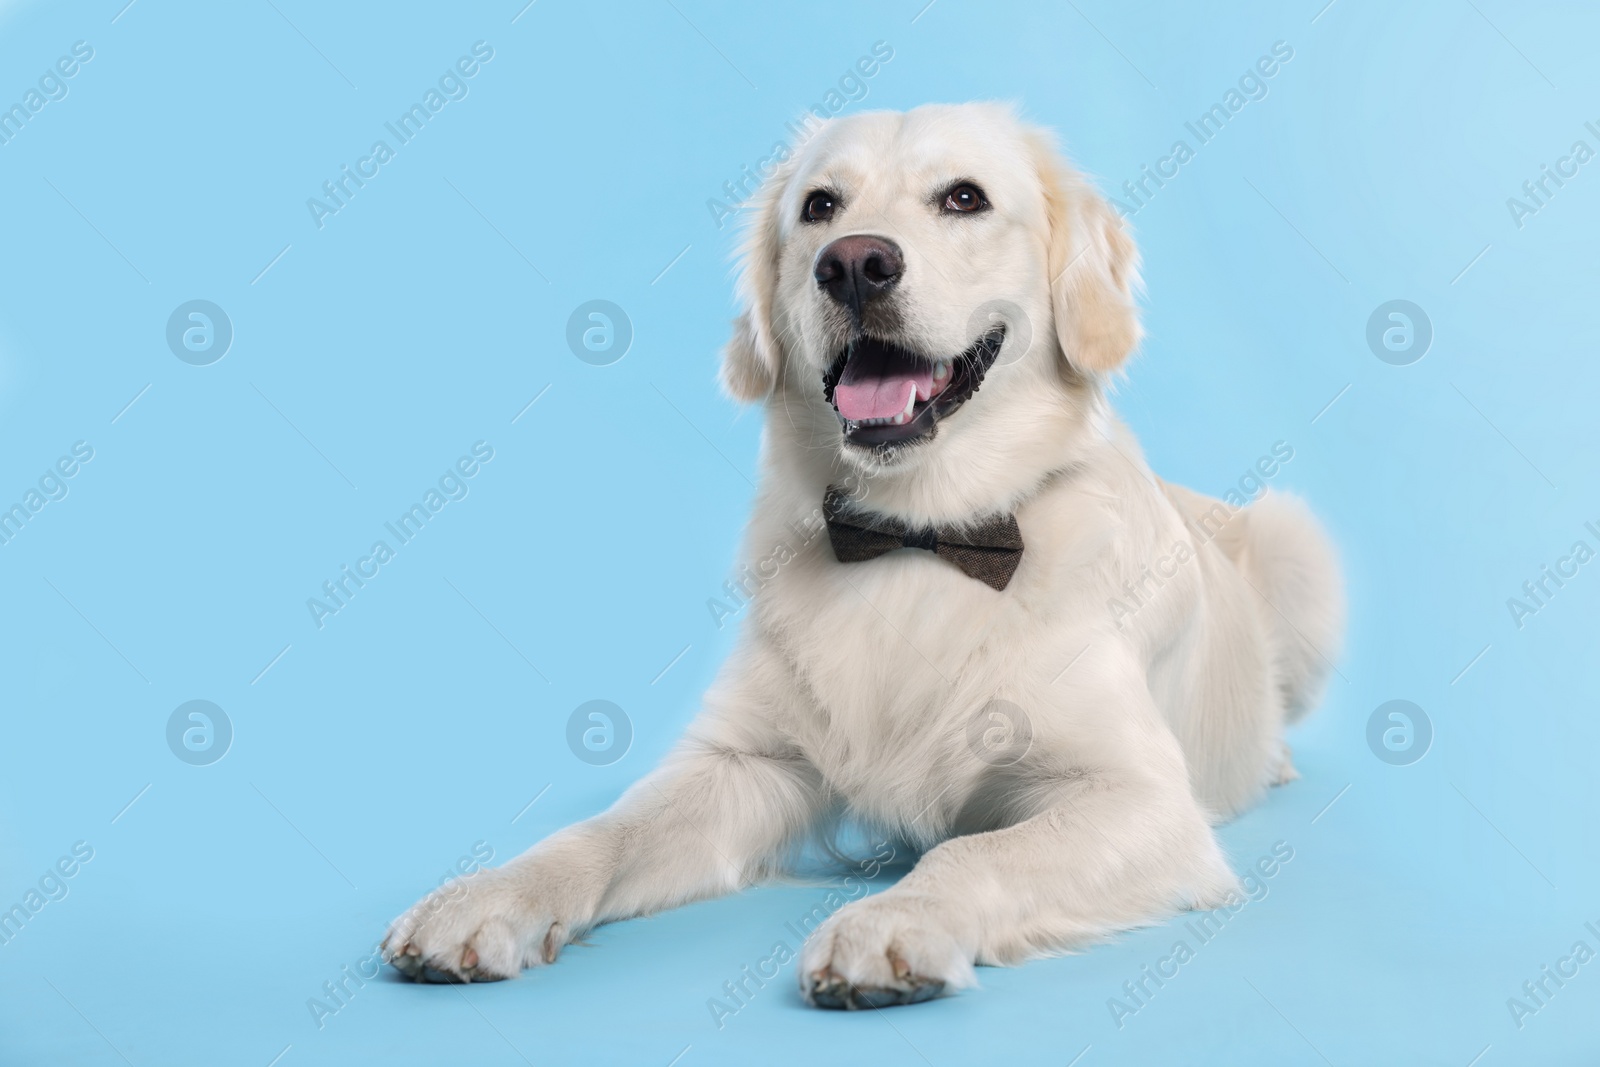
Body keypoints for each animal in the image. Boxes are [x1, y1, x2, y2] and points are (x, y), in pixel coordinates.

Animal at [380, 99, 1344, 1011]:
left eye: (964, 198)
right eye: (819, 206)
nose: (851, 264)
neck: (917, 535)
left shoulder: (1136, 796)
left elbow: (976, 852)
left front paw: (894, 920)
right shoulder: (744, 762)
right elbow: (604, 830)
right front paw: (487, 895)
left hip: (1301, 547)